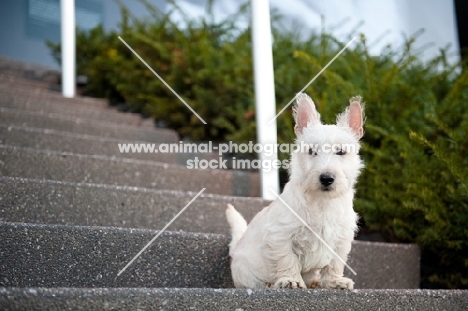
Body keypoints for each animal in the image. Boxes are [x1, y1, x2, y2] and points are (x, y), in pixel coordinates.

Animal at [226, 94, 366, 290]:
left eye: (340, 152)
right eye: (312, 151)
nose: (326, 178)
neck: (322, 201)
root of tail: (236, 247)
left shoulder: (342, 237)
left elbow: (335, 263)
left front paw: (334, 281)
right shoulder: (280, 234)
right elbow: (287, 259)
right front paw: (290, 280)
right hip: (246, 270)